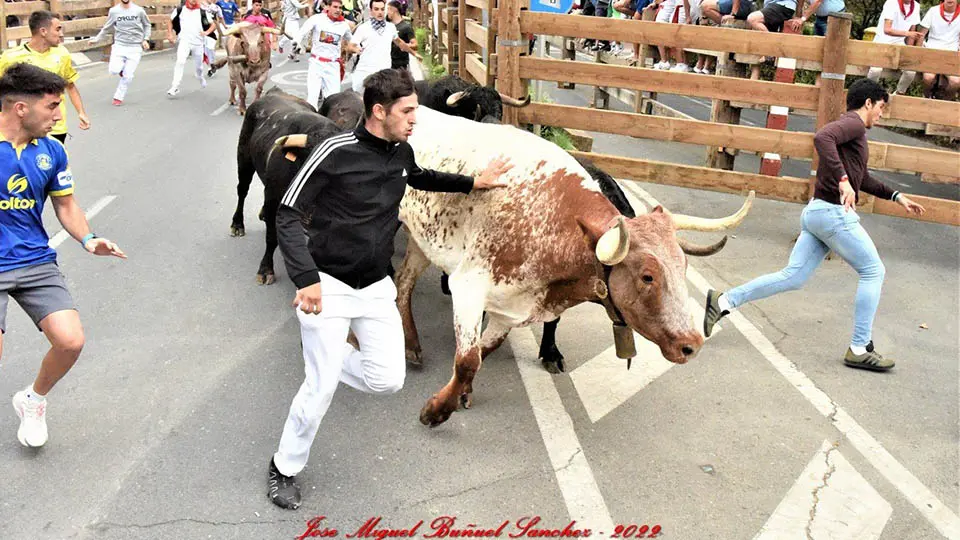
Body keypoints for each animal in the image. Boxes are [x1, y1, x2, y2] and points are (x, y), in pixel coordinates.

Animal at [394, 106, 752, 426]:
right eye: (647, 276)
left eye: (683, 267)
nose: (691, 345)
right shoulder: (469, 286)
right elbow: (468, 360)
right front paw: (436, 411)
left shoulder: (512, 307)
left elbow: (484, 351)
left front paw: (461, 395)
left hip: (423, 241)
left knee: (402, 284)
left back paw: (411, 345)